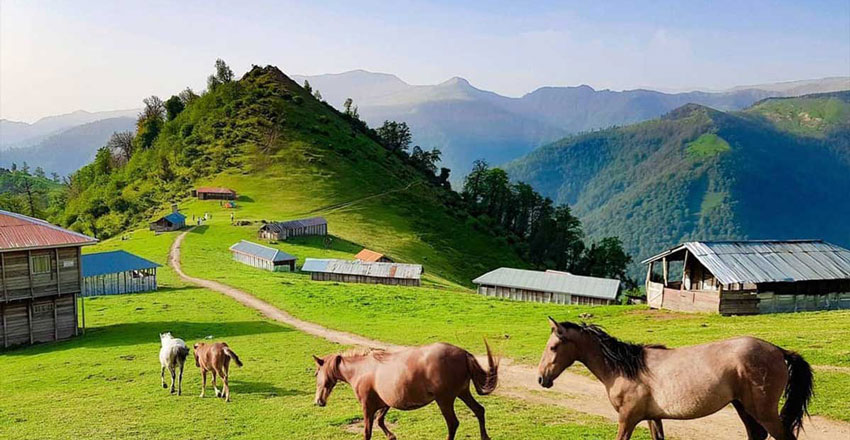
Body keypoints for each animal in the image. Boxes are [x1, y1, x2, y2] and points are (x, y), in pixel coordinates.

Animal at [312, 340, 496, 440]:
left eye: (316, 374)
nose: (318, 401)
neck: (361, 370)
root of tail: (464, 353)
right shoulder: (385, 403)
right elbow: (380, 421)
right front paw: (391, 436)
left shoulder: (367, 407)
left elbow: (367, 432)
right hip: (463, 393)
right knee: (479, 410)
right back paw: (485, 437)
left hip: (445, 400)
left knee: (453, 423)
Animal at [536, 318, 808, 440]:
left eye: (553, 347)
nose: (541, 379)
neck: (625, 369)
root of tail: (779, 351)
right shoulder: (652, 418)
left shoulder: (627, 418)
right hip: (744, 408)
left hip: (763, 412)